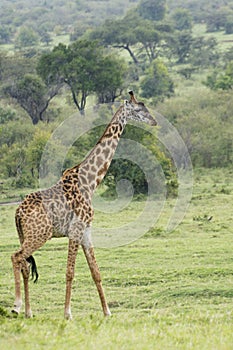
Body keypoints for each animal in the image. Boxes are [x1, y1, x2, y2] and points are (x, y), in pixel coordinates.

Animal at [10, 89, 157, 318]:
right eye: (139, 109)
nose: (154, 121)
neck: (90, 181)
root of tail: (17, 213)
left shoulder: (87, 231)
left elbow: (96, 272)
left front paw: (107, 312)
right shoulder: (76, 229)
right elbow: (70, 272)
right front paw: (67, 313)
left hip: (25, 235)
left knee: (24, 264)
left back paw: (28, 312)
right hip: (39, 235)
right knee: (16, 257)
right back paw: (16, 306)